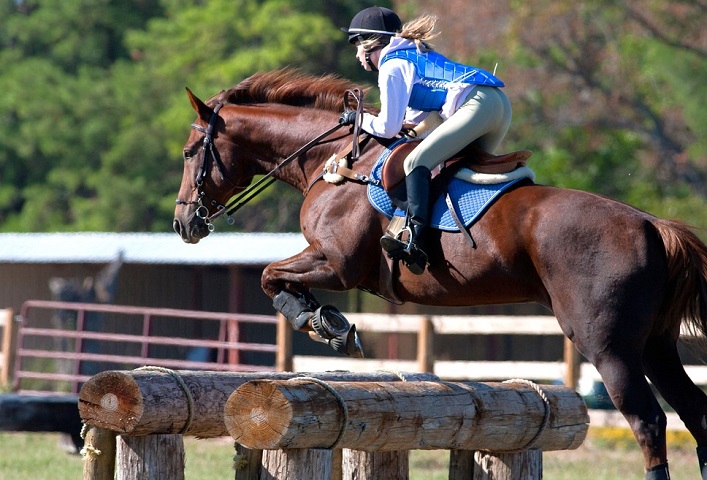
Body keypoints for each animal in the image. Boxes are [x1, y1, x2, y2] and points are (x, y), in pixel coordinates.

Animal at [174, 69, 707, 478]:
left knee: (648, 420)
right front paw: (331, 325)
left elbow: (270, 277)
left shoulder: (337, 264)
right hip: (655, 343)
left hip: (607, 344)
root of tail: (651, 225)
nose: (184, 223)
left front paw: (326, 324)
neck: (335, 162)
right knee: (693, 411)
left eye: (188, 152)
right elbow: (276, 279)